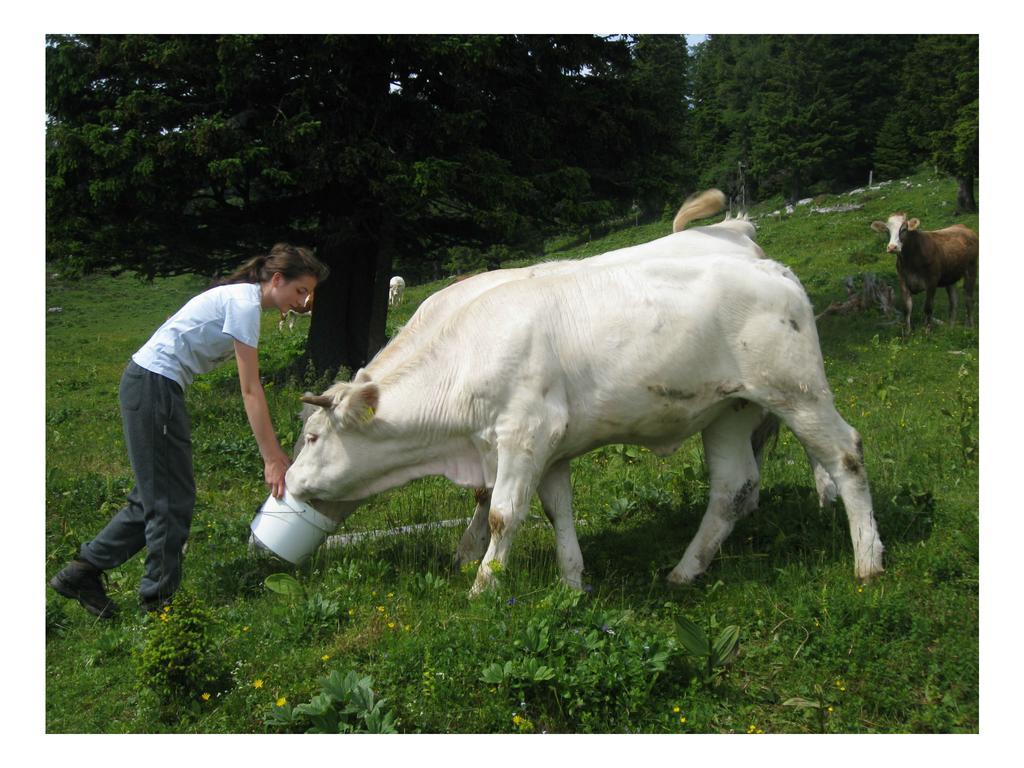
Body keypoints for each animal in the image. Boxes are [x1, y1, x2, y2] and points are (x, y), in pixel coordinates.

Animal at [288, 195, 880, 598]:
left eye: (313, 436)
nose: (286, 483)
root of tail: (766, 263)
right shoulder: (549, 447)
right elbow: (556, 513)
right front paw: (572, 583)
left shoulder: (524, 433)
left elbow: (503, 512)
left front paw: (482, 585)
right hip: (730, 408)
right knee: (734, 486)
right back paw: (685, 570)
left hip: (797, 391)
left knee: (845, 453)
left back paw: (867, 560)